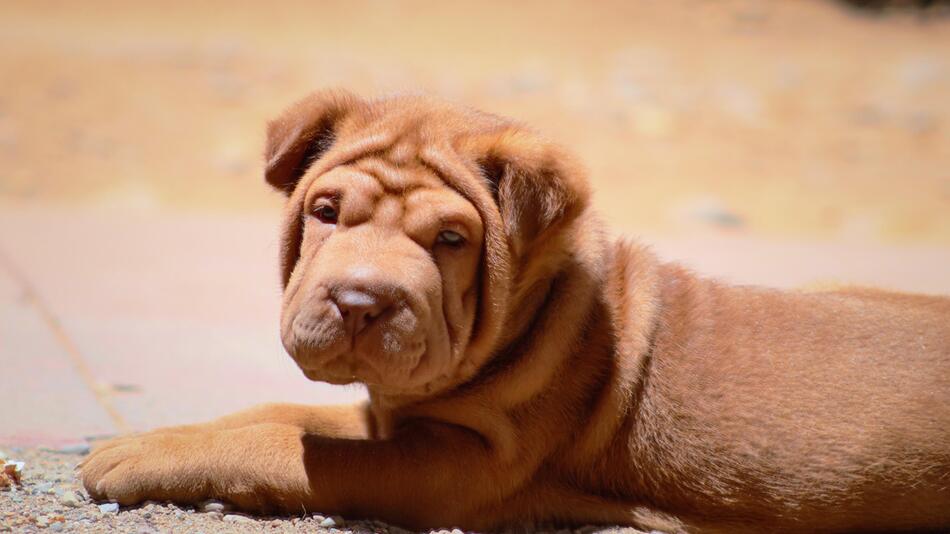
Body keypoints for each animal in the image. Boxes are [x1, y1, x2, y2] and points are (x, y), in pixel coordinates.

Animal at [80, 90, 950, 532]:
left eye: (451, 239)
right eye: (325, 212)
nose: (360, 301)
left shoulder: (452, 468)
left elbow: (293, 448)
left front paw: (142, 456)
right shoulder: (393, 416)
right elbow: (279, 414)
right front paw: (156, 436)